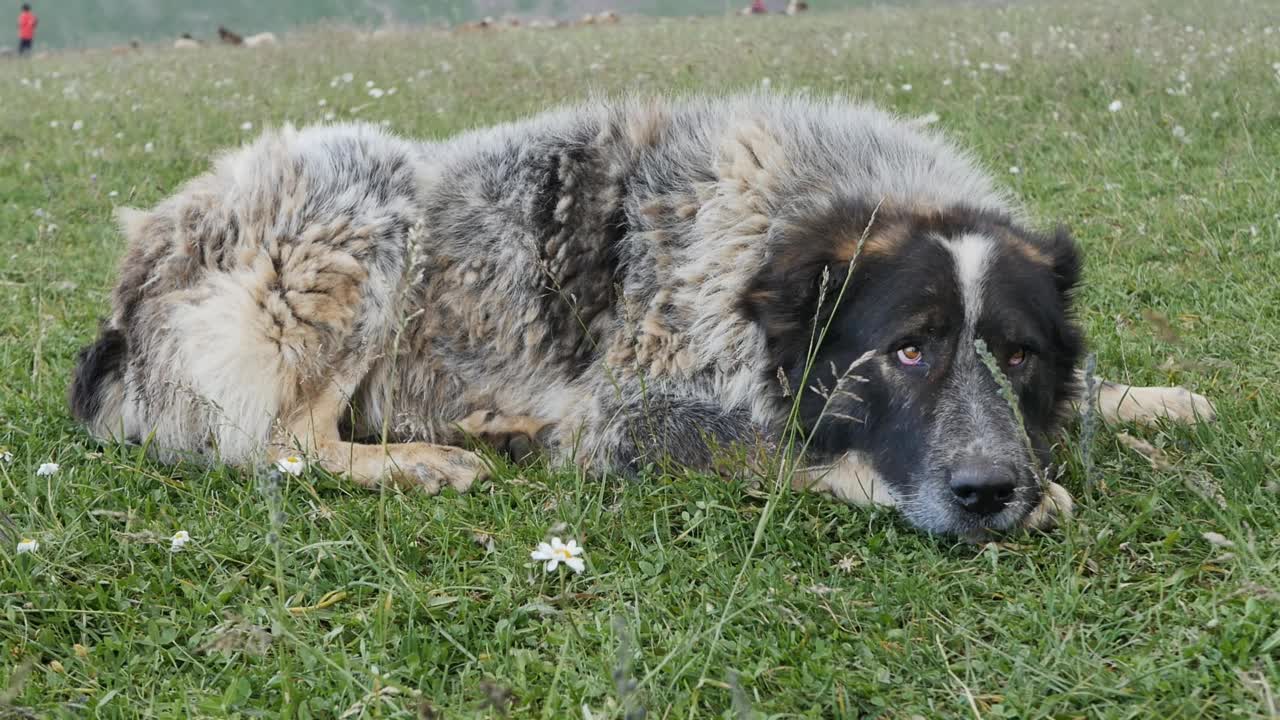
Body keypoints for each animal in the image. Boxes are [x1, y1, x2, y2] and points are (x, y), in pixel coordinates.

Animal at [64, 94, 1213, 532]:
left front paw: (1154, 398)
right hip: (361, 197)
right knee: (278, 438)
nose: (989, 490)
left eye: (1017, 355)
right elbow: (789, 453)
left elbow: (1101, 390)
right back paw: (425, 459)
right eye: (906, 351)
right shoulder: (635, 416)